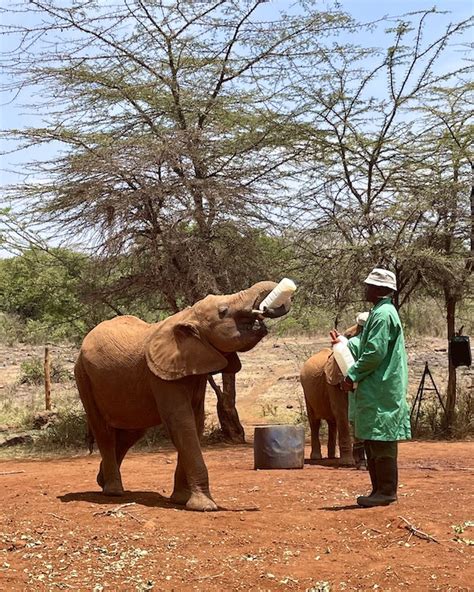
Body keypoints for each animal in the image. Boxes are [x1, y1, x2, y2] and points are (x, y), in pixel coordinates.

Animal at [74, 280, 290, 508]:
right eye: (223, 311)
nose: (265, 309)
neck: (188, 315)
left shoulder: (195, 368)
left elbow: (195, 422)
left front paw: (181, 500)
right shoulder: (161, 376)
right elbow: (181, 422)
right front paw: (204, 507)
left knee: (133, 431)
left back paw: (101, 480)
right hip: (83, 376)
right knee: (103, 430)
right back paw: (113, 491)